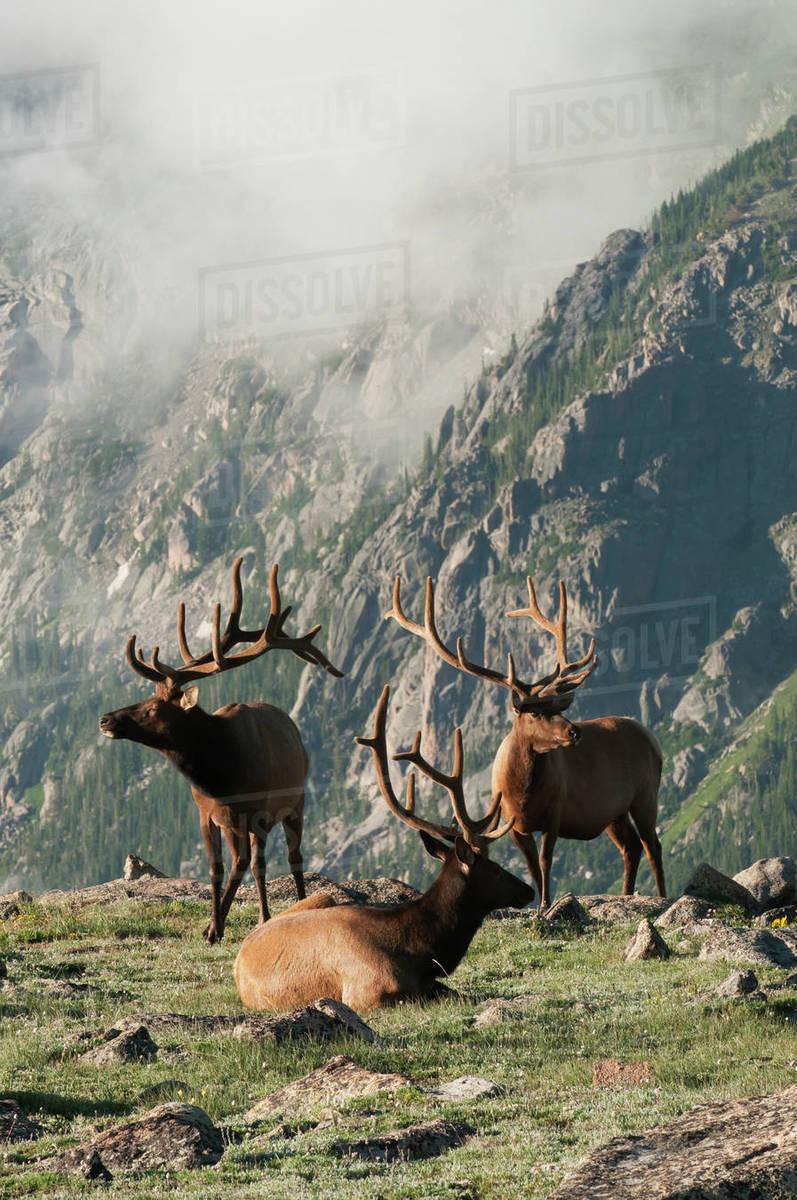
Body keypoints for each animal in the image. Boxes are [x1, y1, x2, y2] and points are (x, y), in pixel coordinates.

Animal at [99, 556, 342, 943]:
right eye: (146, 698)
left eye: (153, 708)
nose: (106, 719)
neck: (218, 777)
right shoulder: (207, 813)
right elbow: (216, 867)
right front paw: (212, 923)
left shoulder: (249, 811)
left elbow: (239, 865)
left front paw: (215, 927)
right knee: (261, 863)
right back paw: (263, 915)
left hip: (294, 802)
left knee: (290, 858)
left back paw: (294, 907)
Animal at [233, 685, 534, 1011]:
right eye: (495, 868)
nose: (528, 890)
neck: (418, 953)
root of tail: (239, 957)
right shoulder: (365, 994)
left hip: (322, 896)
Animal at [386, 574, 665, 910]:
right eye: (533, 712)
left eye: (556, 707)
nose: (574, 732)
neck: (523, 792)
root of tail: (651, 738)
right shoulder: (514, 824)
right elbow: (532, 867)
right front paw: (541, 904)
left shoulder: (556, 812)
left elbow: (545, 862)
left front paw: (546, 904)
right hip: (613, 812)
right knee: (631, 847)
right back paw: (625, 894)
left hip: (645, 793)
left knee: (653, 845)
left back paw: (661, 895)